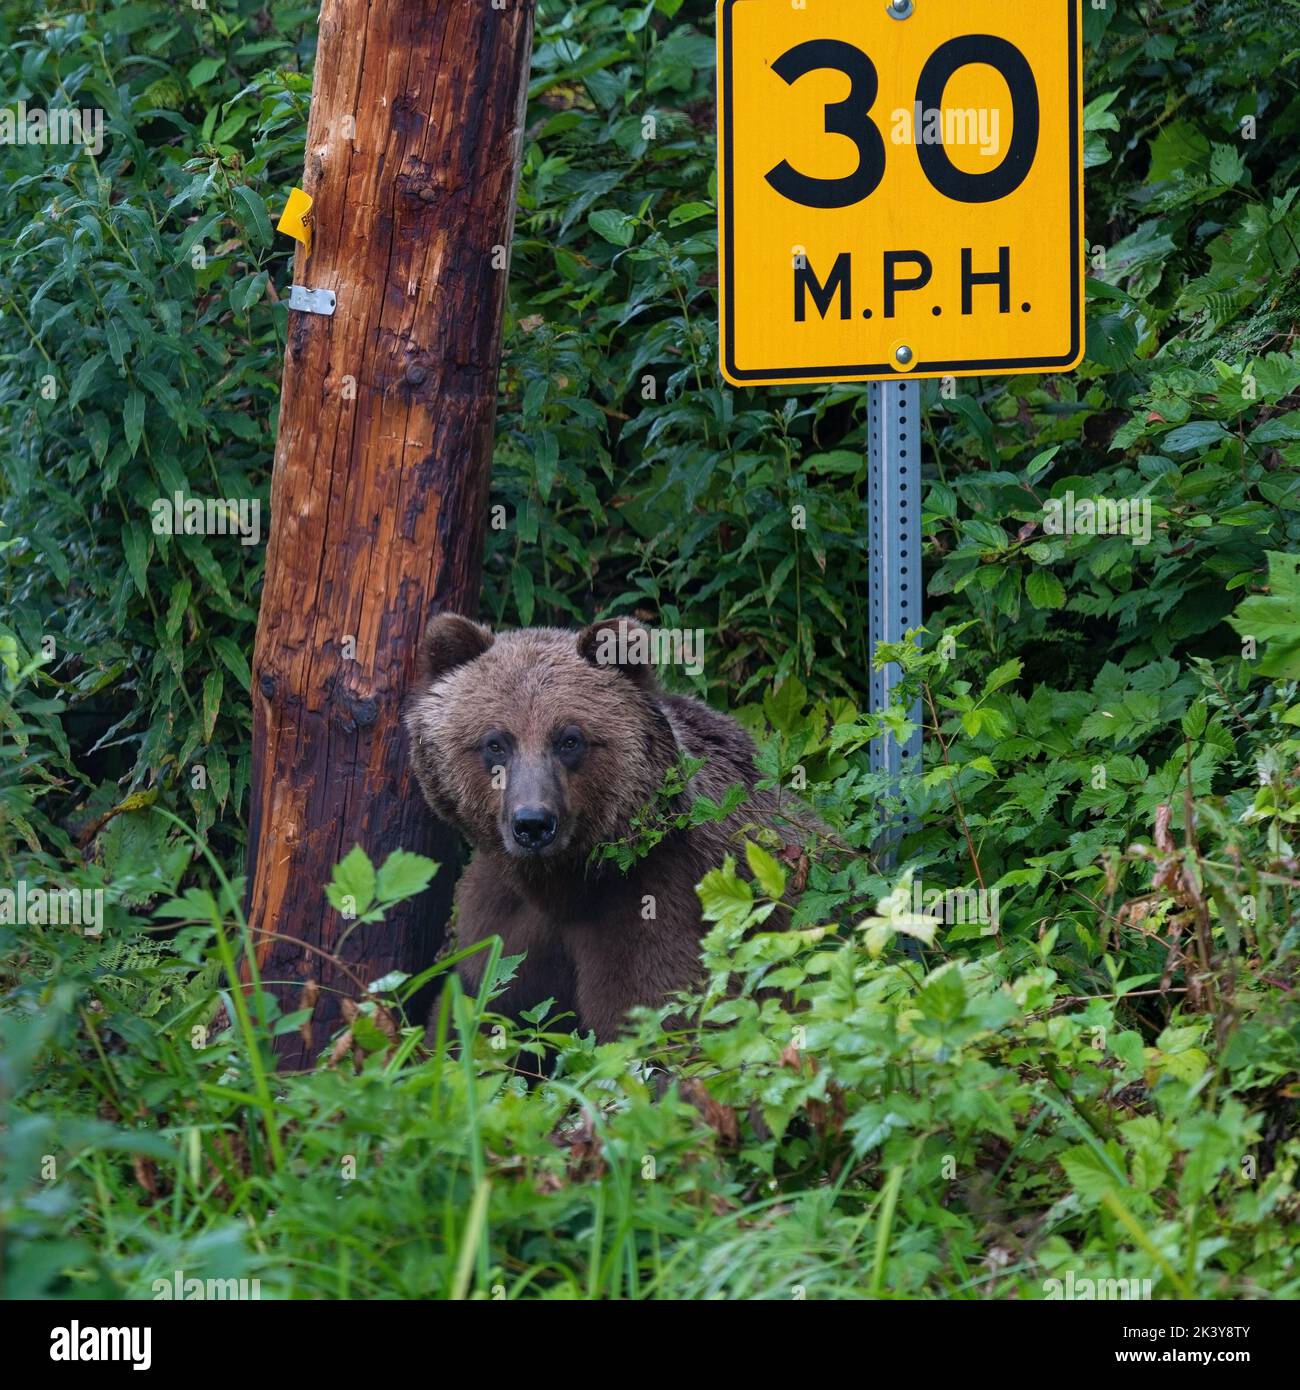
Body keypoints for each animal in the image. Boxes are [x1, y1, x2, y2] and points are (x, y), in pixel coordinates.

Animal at [405, 614, 795, 1039]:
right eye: (495, 743)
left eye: (569, 739)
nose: (533, 824)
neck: (564, 885)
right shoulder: (499, 922)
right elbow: (473, 1012)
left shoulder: (659, 901)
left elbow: (663, 1019)